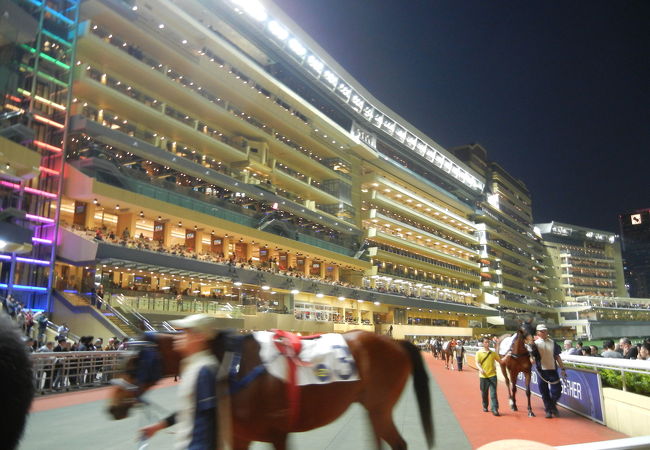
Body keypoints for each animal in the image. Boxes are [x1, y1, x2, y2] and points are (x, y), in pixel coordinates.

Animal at [107, 328, 430, 448]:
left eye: (133, 364)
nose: (112, 408)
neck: (235, 369)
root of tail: (395, 342)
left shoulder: (278, 433)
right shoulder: (239, 436)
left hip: (380, 407)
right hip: (372, 407)